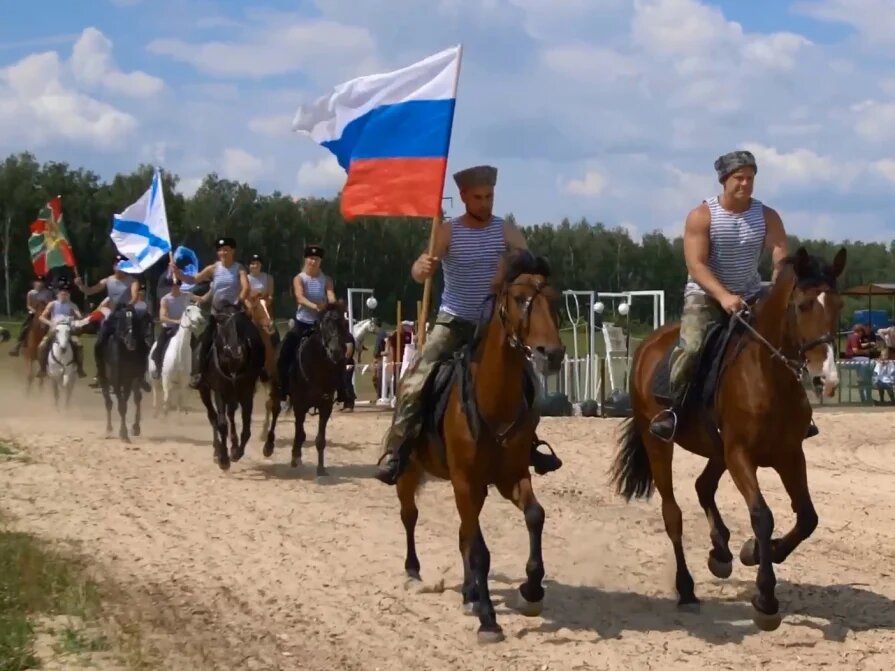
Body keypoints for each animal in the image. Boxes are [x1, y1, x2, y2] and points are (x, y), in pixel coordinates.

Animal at [98, 304, 150, 440]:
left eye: (135, 320)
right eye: (121, 320)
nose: (131, 342)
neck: (128, 353)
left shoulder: (134, 377)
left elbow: (133, 399)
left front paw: (135, 428)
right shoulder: (116, 380)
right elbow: (121, 406)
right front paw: (123, 433)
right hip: (105, 379)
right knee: (109, 402)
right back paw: (109, 429)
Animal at [199, 302, 264, 470]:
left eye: (241, 323)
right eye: (221, 322)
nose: (236, 351)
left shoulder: (247, 393)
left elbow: (246, 427)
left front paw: (236, 452)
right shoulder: (219, 392)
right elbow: (221, 424)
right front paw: (223, 459)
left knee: (231, 415)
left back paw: (233, 446)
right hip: (205, 391)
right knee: (213, 417)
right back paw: (217, 450)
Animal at [262, 304, 350, 478]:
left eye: (343, 324)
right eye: (324, 325)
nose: (336, 352)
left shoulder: (325, 406)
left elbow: (320, 439)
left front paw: (321, 468)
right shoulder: (299, 405)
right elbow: (300, 432)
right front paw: (295, 457)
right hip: (277, 391)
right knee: (274, 411)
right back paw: (269, 446)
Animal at [396, 251, 564, 644]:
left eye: (555, 299)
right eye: (520, 299)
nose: (553, 354)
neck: (493, 401)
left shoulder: (509, 477)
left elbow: (535, 516)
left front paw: (531, 590)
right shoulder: (465, 482)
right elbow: (479, 551)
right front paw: (488, 618)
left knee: (462, 533)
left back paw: (469, 593)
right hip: (409, 473)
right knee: (410, 516)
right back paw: (414, 573)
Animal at [608, 245, 848, 632]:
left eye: (839, 305)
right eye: (803, 305)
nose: (825, 379)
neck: (769, 376)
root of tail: (647, 346)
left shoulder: (789, 455)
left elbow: (807, 518)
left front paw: (757, 552)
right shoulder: (740, 455)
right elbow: (762, 516)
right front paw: (766, 598)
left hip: (717, 451)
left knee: (703, 486)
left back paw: (720, 552)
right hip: (659, 442)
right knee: (672, 513)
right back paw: (687, 589)